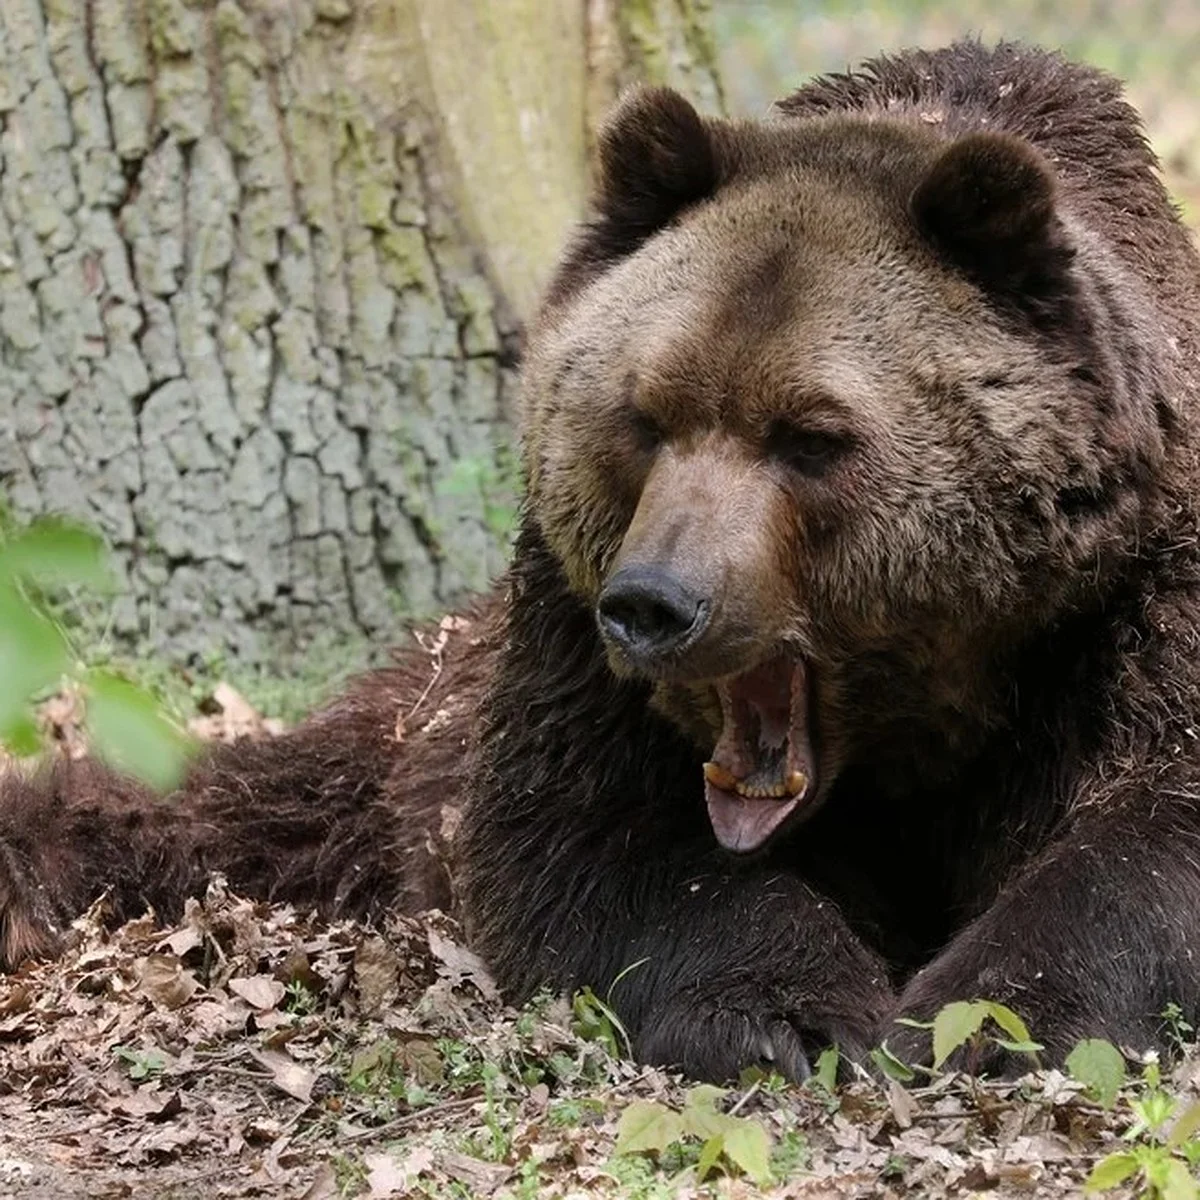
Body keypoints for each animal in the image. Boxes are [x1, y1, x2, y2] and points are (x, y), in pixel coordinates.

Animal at [2, 42, 1200, 1084]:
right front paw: (792, 1012)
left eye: (812, 437)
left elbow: (1152, 824)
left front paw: (985, 1016)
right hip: (426, 705)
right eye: (646, 414)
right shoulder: (566, 631)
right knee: (233, 805)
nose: (657, 605)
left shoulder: (1132, 602)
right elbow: (588, 835)